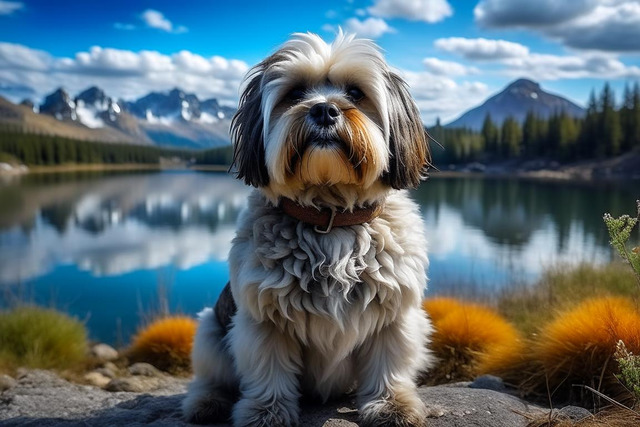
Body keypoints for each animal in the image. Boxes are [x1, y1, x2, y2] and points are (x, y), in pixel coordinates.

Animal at [182, 31, 438, 426]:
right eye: (296, 93)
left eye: (355, 93)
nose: (324, 110)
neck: (329, 215)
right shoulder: (262, 321)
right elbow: (268, 370)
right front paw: (266, 412)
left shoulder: (395, 316)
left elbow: (388, 364)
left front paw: (392, 405)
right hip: (210, 330)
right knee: (212, 379)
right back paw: (207, 402)